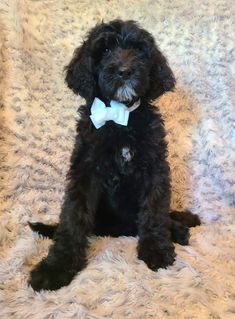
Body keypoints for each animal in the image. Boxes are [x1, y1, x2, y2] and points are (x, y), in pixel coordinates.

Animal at [28, 18, 199, 292]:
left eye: (139, 50)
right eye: (105, 50)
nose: (125, 71)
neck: (121, 118)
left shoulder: (155, 168)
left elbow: (154, 209)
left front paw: (156, 250)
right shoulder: (84, 170)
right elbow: (72, 216)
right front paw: (55, 268)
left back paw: (181, 223)